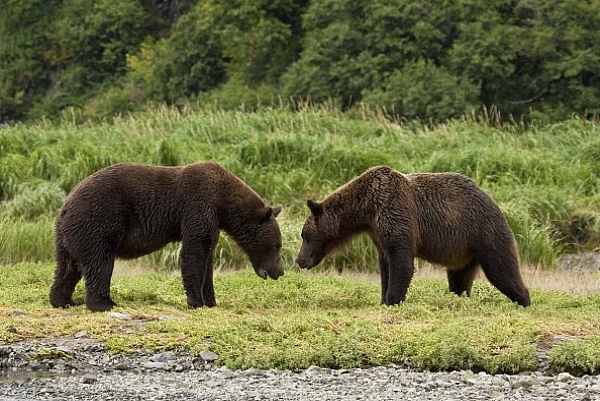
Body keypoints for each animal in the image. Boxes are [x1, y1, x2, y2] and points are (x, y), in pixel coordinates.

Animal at [49, 161, 284, 310]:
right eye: (276, 245)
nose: (280, 271)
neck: (222, 203)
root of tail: (66, 205)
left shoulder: (212, 222)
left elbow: (208, 256)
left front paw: (211, 300)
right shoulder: (198, 207)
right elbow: (194, 253)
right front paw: (195, 301)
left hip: (67, 236)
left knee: (67, 267)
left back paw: (64, 300)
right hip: (98, 222)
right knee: (100, 264)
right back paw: (103, 304)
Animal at [296, 166, 528, 306]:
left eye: (304, 235)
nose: (299, 260)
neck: (367, 210)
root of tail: (493, 201)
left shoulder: (395, 212)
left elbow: (401, 261)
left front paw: (393, 300)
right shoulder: (377, 233)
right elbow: (385, 266)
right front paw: (383, 299)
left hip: (484, 232)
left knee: (501, 268)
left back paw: (523, 299)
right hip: (462, 250)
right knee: (459, 278)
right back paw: (458, 298)